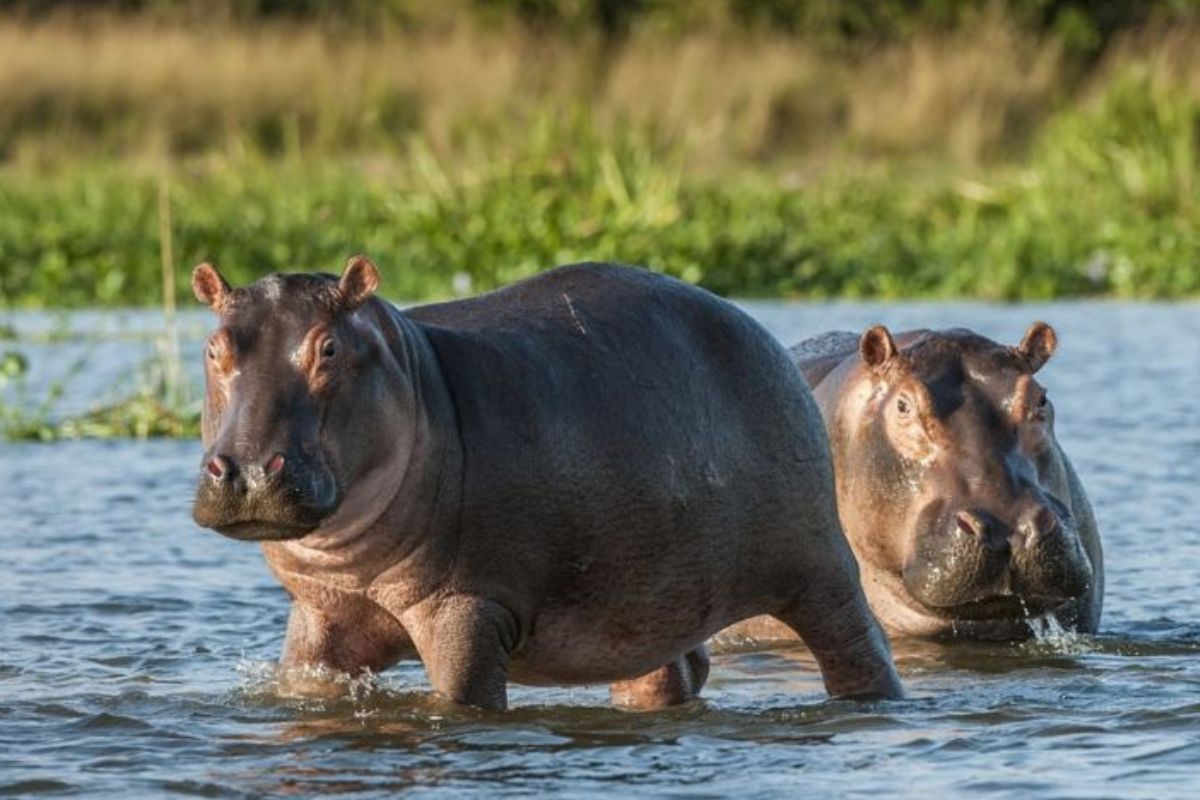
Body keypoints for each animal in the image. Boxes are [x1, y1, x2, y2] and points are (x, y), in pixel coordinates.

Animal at [187, 257, 902, 714]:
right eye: (214, 348)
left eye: (329, 348)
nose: (248, 469)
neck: (414, 375)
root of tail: (761, 334)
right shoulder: (322, 613)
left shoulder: (466, 608)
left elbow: (463, 701)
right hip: (647, 601)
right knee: (666, 674)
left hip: (819, 569)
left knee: (857, 647)